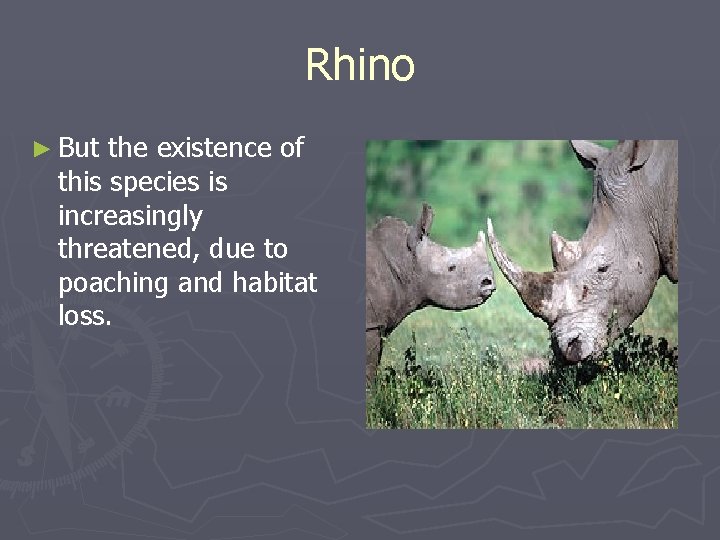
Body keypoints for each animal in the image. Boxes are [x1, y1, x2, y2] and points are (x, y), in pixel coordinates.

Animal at [366, 203, 496, 382]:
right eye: (451, 268)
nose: (488, 282)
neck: (405, 259)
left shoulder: (378, 325)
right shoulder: (370, 325)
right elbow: (368, 370)